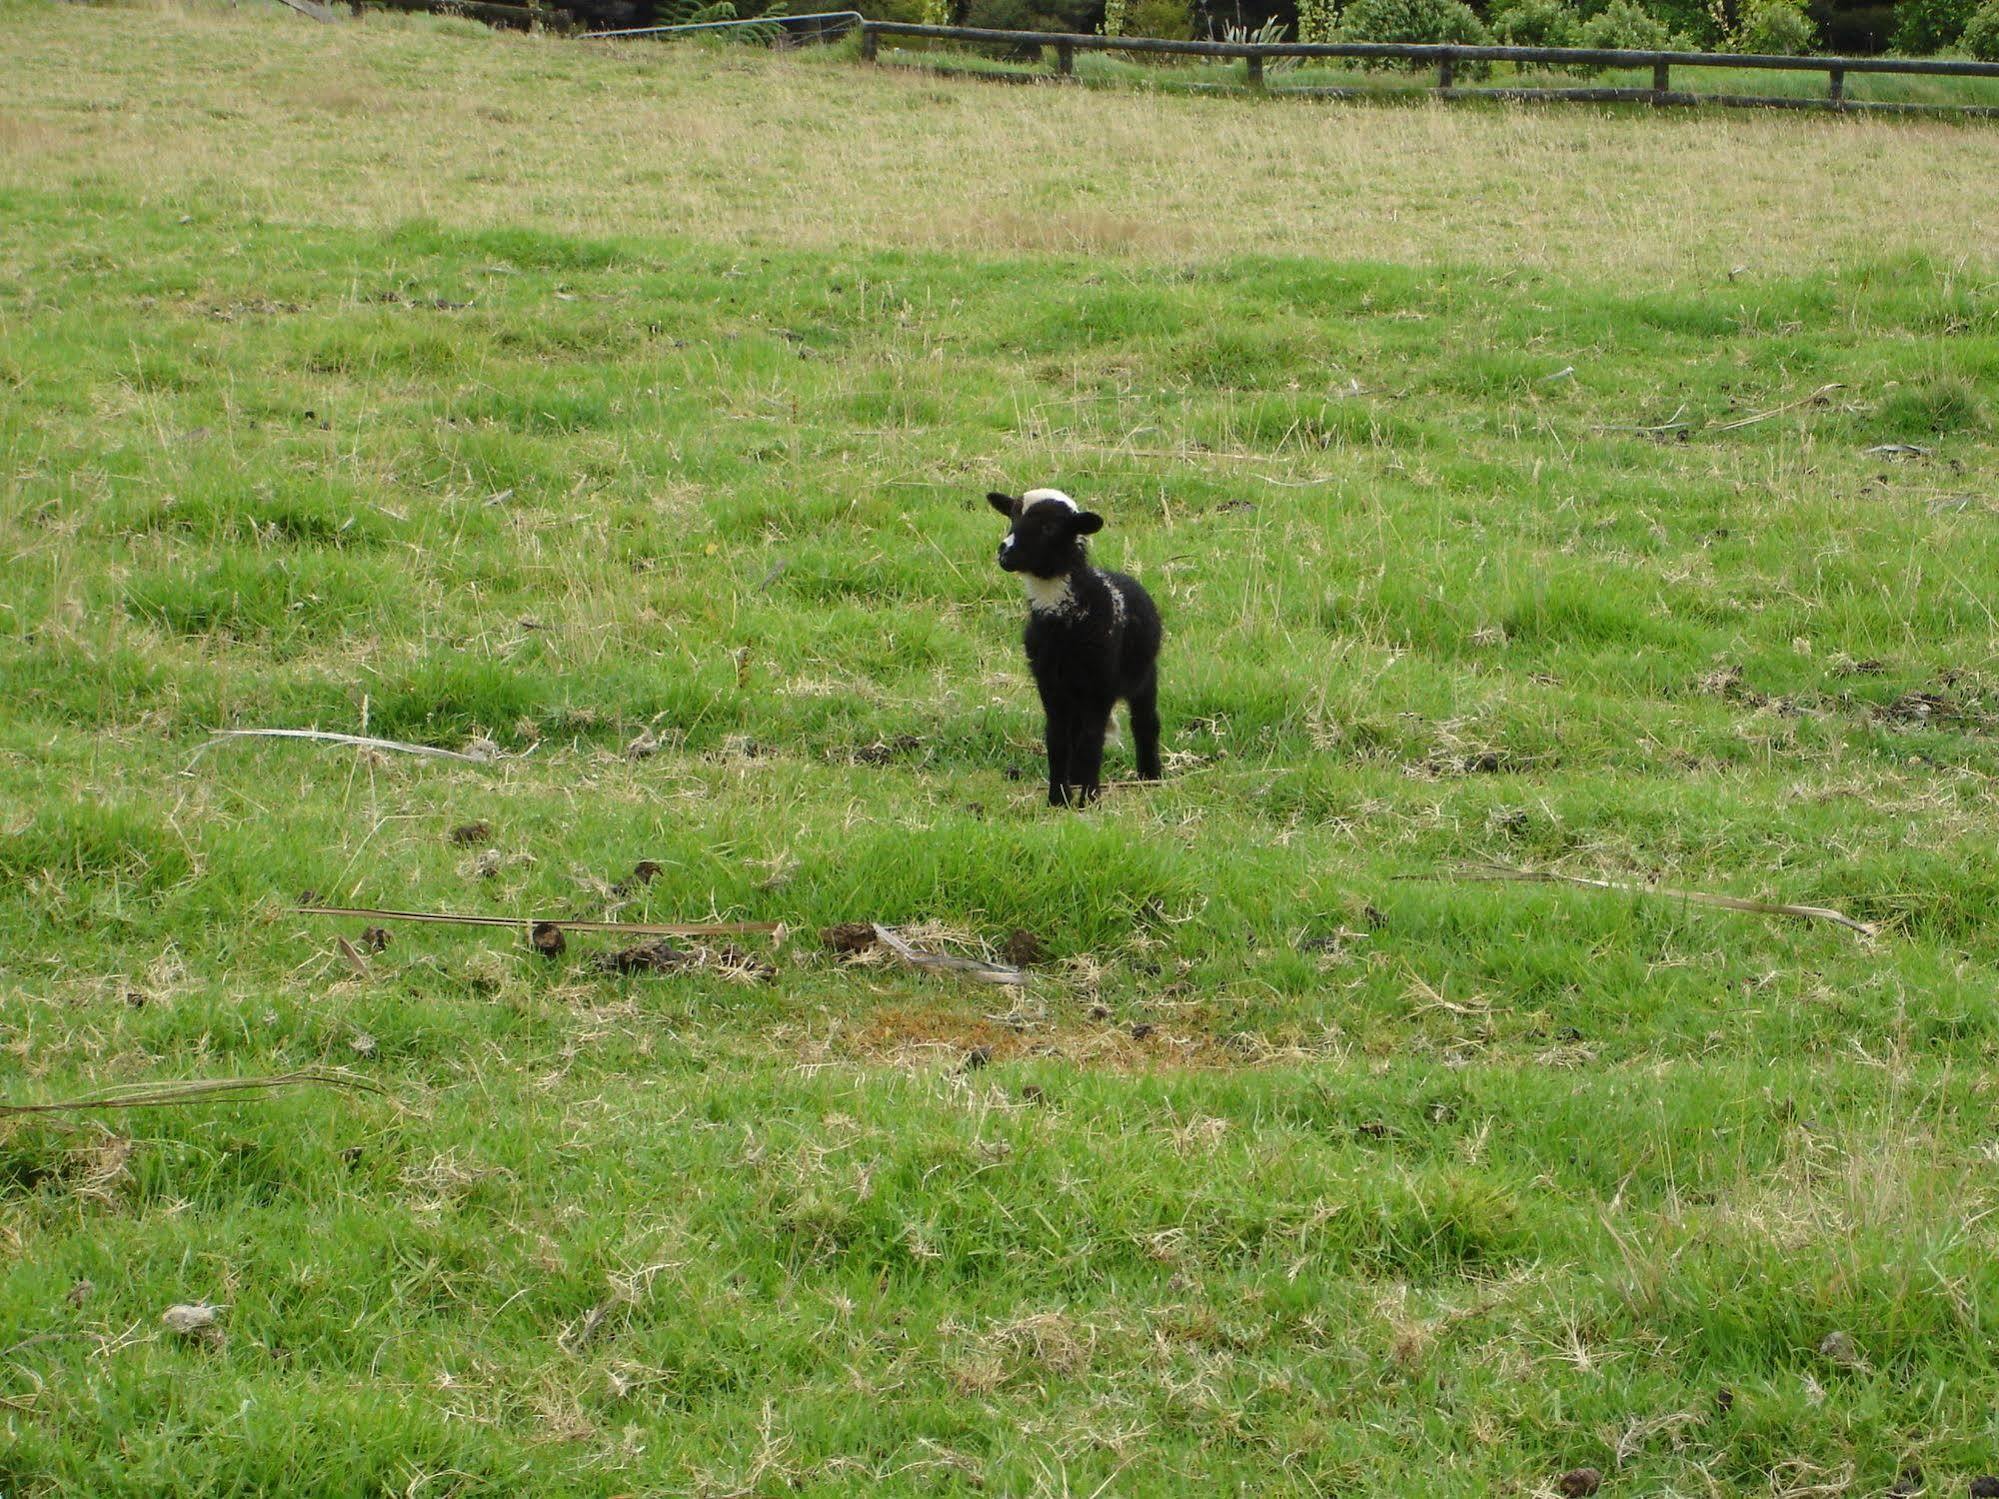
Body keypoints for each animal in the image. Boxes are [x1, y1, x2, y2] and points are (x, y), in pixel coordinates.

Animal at [987, 489, 1167, 811]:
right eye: (1012, 517)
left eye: (1049, 528)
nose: (1005, 552)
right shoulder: (1049, 683)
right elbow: (1058, 738)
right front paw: (1058, 798)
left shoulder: (1101, 683)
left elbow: (1092, 740)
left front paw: (1089, 798)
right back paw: (1076, 777)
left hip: (1144, 674)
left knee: (1145, 722)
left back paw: (1149, 776)